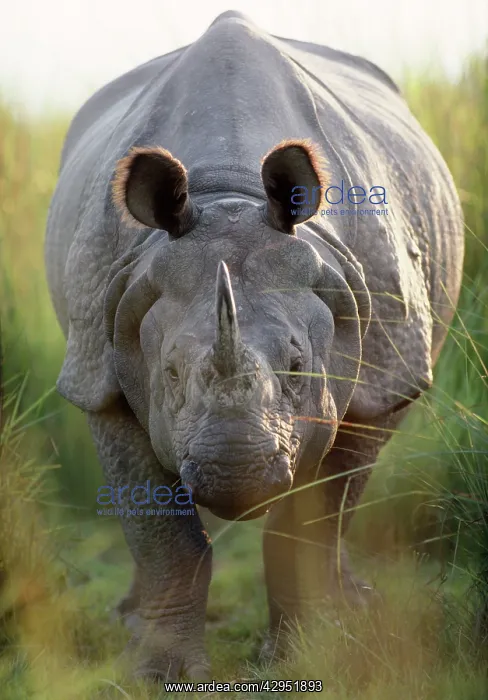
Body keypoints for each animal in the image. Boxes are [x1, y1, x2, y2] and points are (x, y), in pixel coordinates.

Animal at [44, 10, 464, 680]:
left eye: (297, 366)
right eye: (168, 374)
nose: (233, 467)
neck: (229, 195)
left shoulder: (379, 368)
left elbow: (314, 521)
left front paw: (309, 653)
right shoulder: (97, 366)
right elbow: (163, 533)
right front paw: (158, 673)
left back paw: (354, 606)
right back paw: (129, 619)